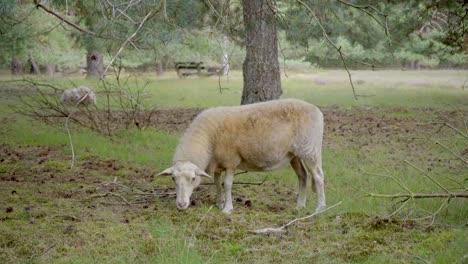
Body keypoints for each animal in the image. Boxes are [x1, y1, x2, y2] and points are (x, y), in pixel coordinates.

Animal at [158, 98, 326, 213]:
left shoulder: (231, 161)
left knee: (318, 176)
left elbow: (227, 184)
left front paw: (227, 209)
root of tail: (316, 110)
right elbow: (217, 183)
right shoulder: (218, 163)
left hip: (310, 149)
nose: (181, 204)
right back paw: (300, 206)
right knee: (303, 176)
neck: (208, 140)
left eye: (193, 179)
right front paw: (219, 203)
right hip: (294, 154)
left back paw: (320, 207)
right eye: (173, 179)